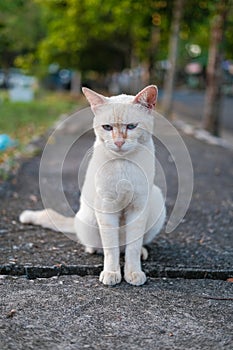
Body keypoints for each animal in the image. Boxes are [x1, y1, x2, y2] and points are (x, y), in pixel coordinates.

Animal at [19, 86, 166, 286]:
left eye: (131, 126)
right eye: (107, 127)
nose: (119, 142)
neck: (123, 164)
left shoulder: (138, 207)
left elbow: (133, 247)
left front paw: (133, 273)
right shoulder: (106, 207)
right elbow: (111, 248)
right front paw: (111, 273)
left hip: (156, 200)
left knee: (130, 246)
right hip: (90, 217)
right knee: (106, 246)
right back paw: (93, 250)